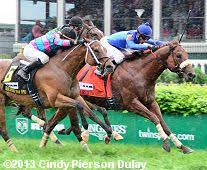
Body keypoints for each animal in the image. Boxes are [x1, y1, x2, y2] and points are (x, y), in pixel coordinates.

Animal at [59, 40, 196, 153]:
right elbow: (154, 118)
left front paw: (181, 146)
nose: (192, 75)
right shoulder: (131, 104)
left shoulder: (151, 102)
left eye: (187, 54)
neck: (139, 74)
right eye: (178, 55)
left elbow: (163, 123)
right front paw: (166, 144)